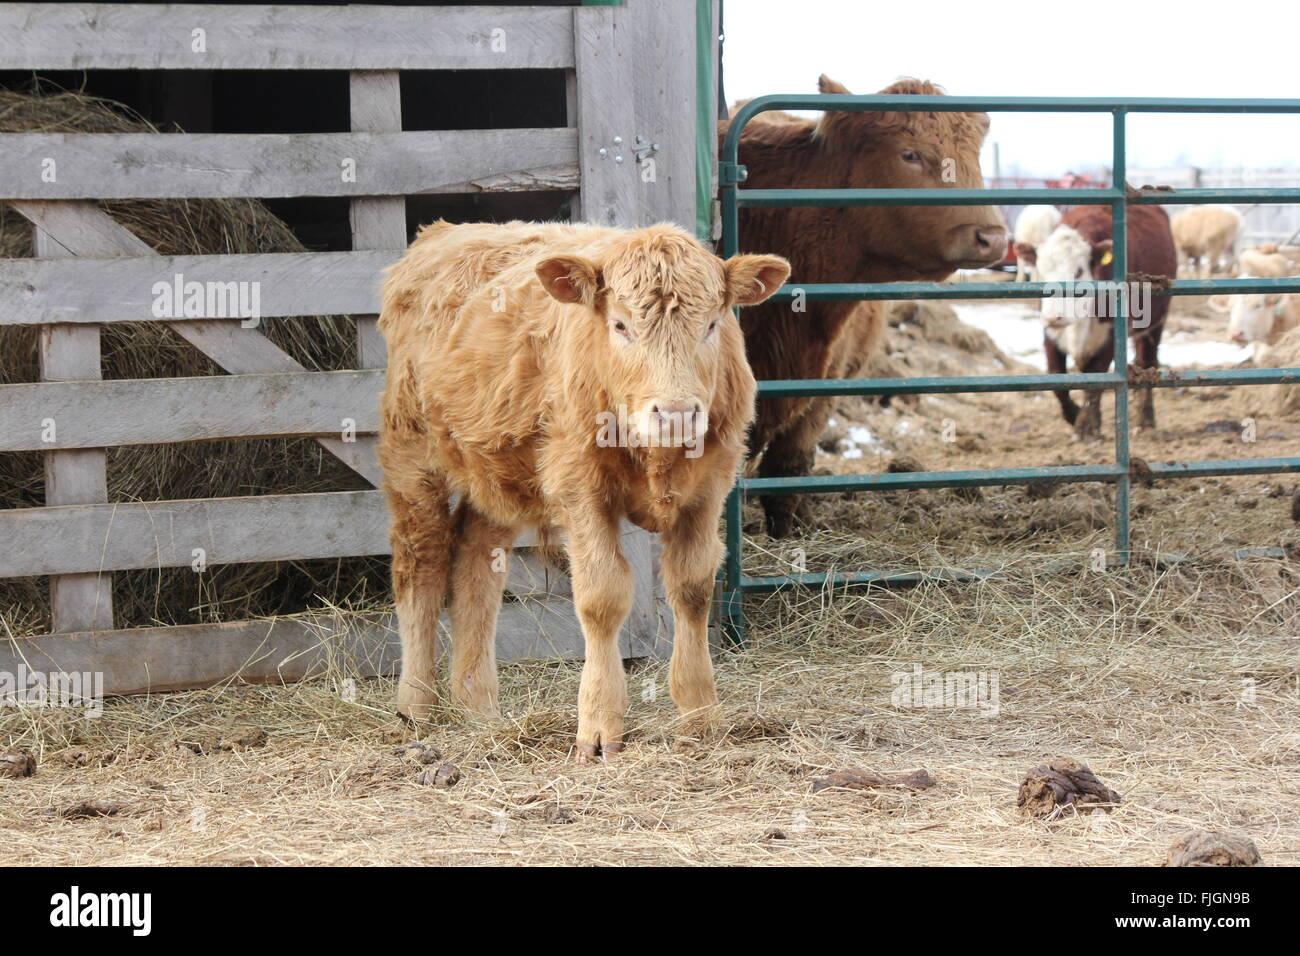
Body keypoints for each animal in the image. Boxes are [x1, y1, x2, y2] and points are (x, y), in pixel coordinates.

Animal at [374, 221, 780, 759]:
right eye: (621, 326)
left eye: (712, 325)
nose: (675, 414)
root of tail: (437, 235)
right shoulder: (581, 486)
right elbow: (601, 596)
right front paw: (600, 725)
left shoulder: (710, 487)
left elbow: (692, 588)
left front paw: (700, 715)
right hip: (412, 458)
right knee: (422, 563)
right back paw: (416, 704)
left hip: (495, 476)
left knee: (475, 568)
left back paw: (478, 706)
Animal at [722, 76, 1003, 538]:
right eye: (909, 154)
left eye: (973, 155)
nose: (992, 237)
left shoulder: (824, 382)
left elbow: (790, 465)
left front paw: (790, 532)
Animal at [1024, 208, 1180, 439]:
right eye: (1041, 271)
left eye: (1079, 271)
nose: (1054, 316)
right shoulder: (1050, 334)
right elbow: (1056, 378)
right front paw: (1075, 415)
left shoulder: (1111, 334)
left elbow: (1095, 376)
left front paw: (1086, 427)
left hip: (1155, 323)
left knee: (1148, 362)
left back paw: (1145, 421)